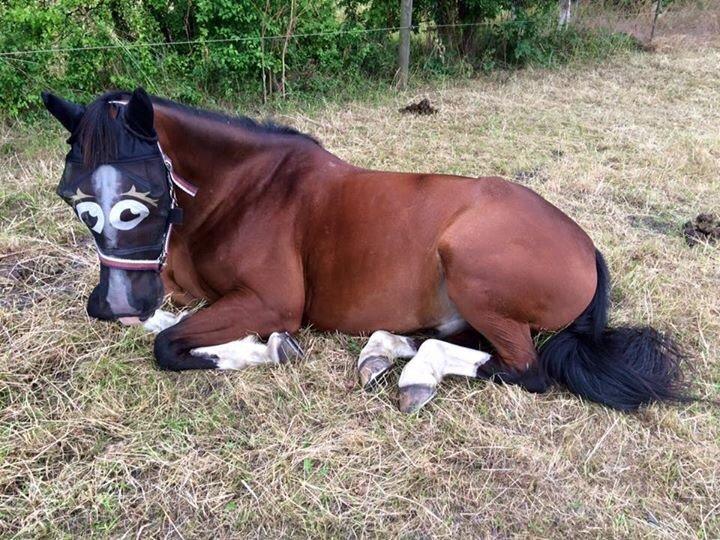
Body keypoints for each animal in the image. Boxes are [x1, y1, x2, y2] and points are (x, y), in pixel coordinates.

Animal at [38, 86, 688, 412]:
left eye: (138, 200)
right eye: (74, 197)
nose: (114, 303)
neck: (245, 189)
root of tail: (586, 247)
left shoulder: (270, 300)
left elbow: (169, 344)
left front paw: (264, 347)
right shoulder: (167, 286)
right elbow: (161, 323)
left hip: (472, 268)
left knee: (524, 369)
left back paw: (415, 373)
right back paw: (386, 353)